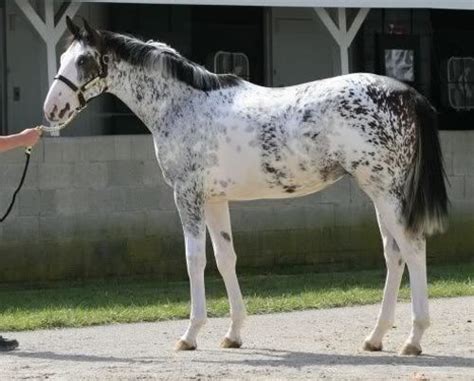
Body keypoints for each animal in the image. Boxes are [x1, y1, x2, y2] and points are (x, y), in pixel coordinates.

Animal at [41, 17, 448, 356]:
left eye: (83, 61)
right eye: (62, 56)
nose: (52, 110)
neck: (183, 104)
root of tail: (406, 93)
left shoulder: (187, 195)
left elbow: (194, 259)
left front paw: (190, 335)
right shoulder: (214, 200)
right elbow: (225, 258)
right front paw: (233, 334)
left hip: (387, 193)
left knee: (413, 249)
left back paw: (413, 340)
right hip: (379, 195)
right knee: (394, 255)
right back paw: (375, 338)